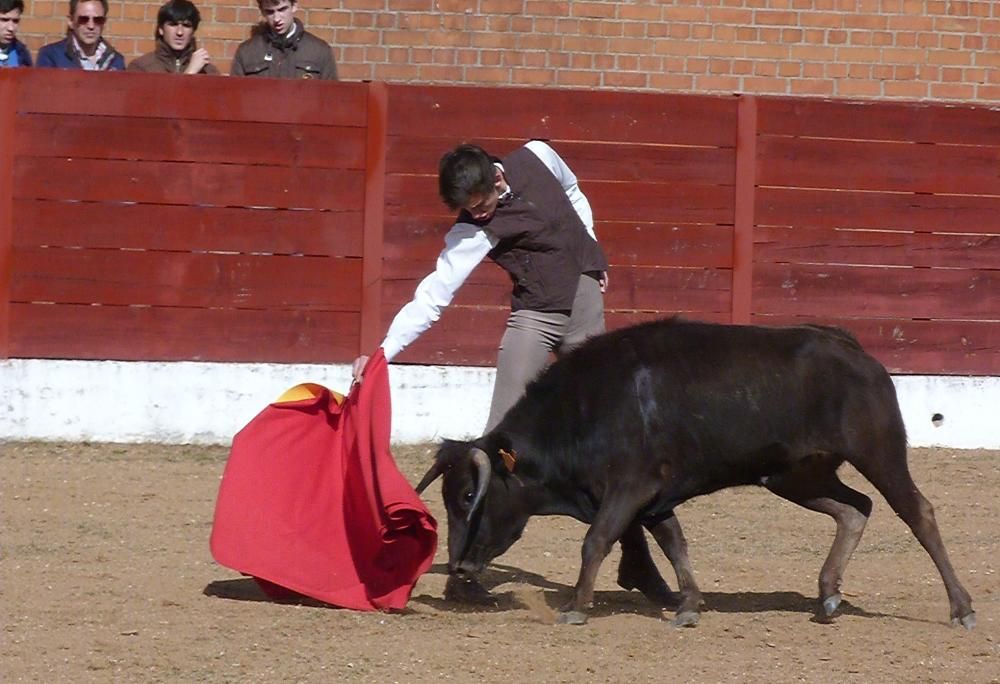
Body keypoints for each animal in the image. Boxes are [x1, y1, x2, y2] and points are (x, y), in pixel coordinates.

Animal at [414, 318, 976, 628]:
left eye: (467, 496)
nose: (460, 567)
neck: (586, 408)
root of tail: (850, 347)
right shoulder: (654, 498)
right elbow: (674, 544)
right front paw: (687, 605)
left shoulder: (629, 487)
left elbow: (596, 541)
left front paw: (577, 606)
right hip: (794, 476)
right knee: (855, 508)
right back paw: (828, 593)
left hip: (878, 453)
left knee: (917, 513)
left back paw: (961, 608)